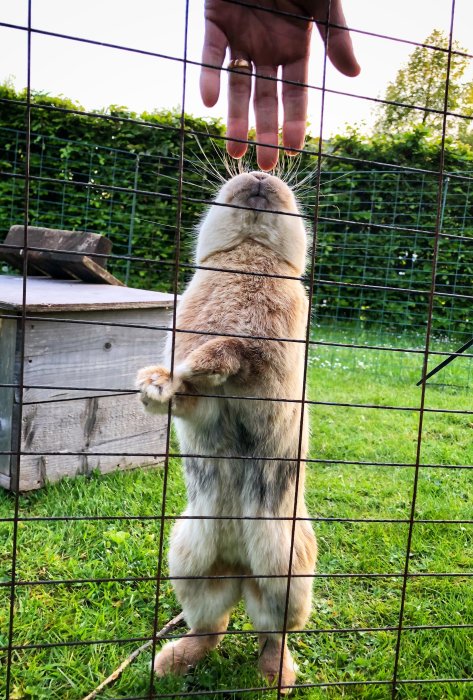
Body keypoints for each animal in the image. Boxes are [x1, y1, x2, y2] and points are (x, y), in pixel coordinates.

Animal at [136, 171, 318, 696]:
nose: (260, 175)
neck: (248, 257)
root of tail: (238, 568)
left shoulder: (270, 372)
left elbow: (237, 353)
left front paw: (204, 361)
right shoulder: (203, 407)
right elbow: (189, 397)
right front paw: (155, 384)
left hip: (286, 575)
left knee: (272, 633)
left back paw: (277, 678)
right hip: (189, 564)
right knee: (211, 627)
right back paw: (169, 663)